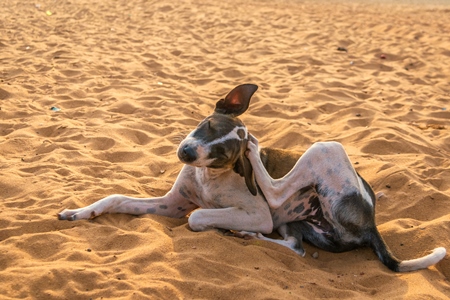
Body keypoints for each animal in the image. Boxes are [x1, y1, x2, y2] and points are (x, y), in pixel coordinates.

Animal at [59, 84, 446, 272]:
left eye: (221, 154)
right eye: (207, 124)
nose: (186, 153)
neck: (209, 177)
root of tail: (372, 223)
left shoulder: (254, 213)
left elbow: (199, 216)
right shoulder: (171, 205)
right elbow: (116, 198)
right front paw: (80, 212)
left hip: (325, 148)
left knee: (275, 193)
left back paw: (255, 159)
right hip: (300, 223)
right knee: (296, 247)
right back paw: (247, 235)